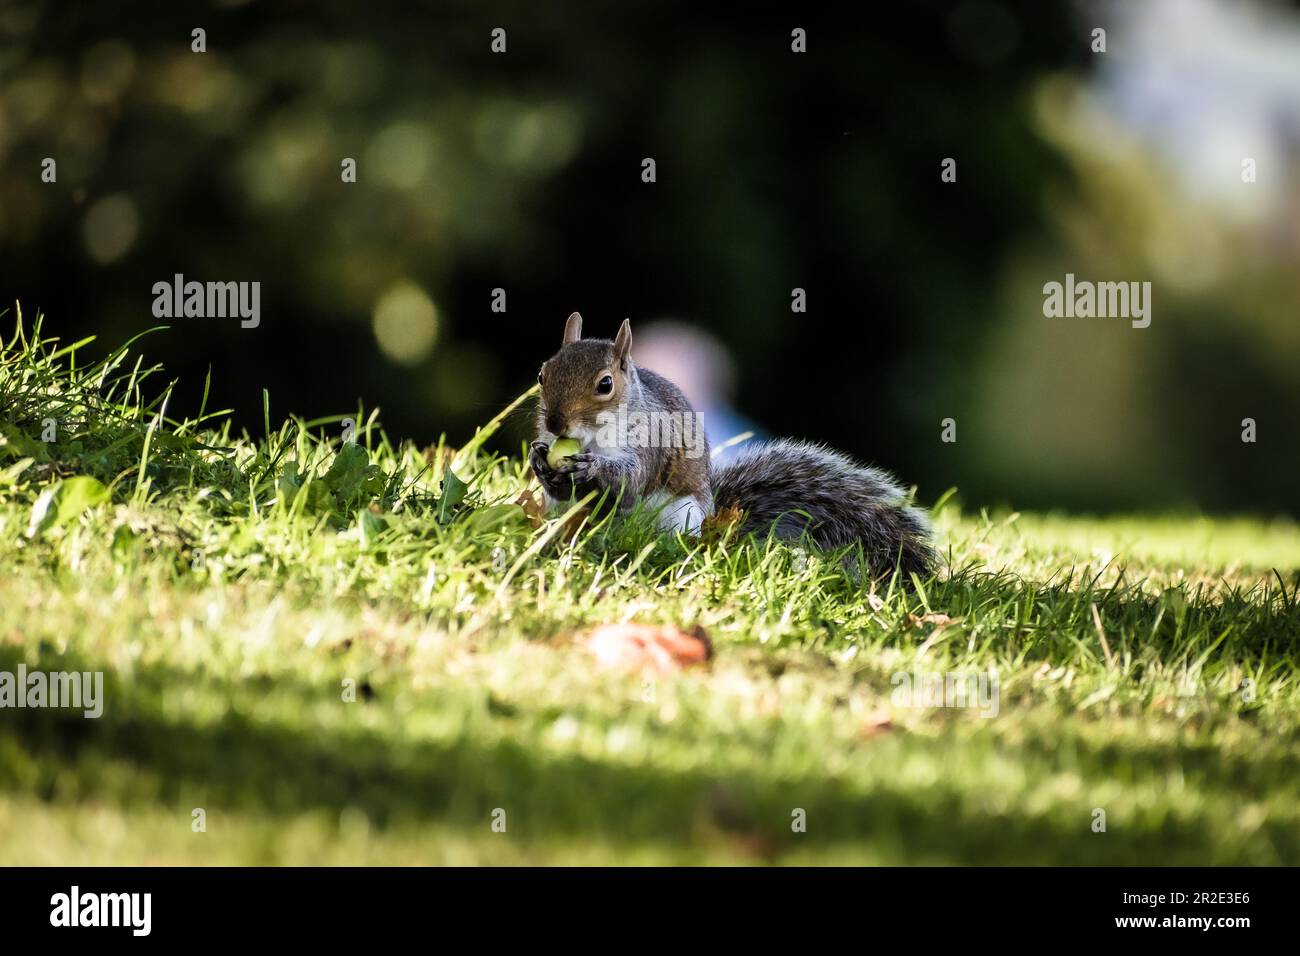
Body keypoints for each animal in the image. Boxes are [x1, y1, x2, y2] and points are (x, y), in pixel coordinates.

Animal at [528, 312, 934, 578]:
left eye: (606, 384)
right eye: (542, 374)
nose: (555, 424)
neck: (592, 437)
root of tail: (715, 526)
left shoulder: (650, 443)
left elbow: (631, 482)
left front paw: (593, 468)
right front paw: (539, 460)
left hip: (681, 517)